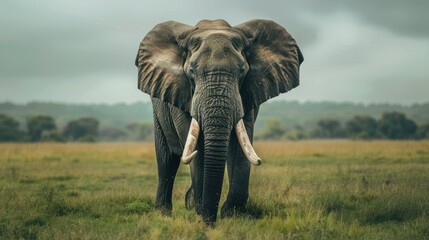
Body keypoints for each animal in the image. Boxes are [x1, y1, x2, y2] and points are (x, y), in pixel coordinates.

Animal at [135, 19, 302, 227]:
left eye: (242, 70)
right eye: (191, 71)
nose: (211, 222)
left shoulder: (247, 94)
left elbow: (240, 147)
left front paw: (233, 215)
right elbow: (197, 150)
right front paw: (202, 214)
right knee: (166, 160)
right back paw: (164, 213)